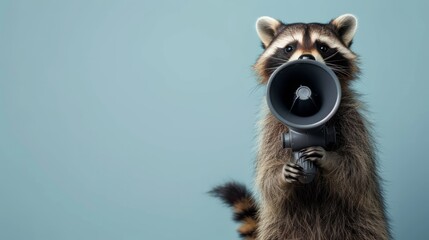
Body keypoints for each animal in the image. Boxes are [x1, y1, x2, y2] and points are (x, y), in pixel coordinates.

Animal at [209, 14, 390, 239]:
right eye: (289, 48)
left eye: (322, 47)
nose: (306, 59)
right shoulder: (272, 127)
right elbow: (267, 177)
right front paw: (281, 175)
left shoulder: (351, 118)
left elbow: (357, 168)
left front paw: (329, 158)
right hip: (281, 224)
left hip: (361, 220)